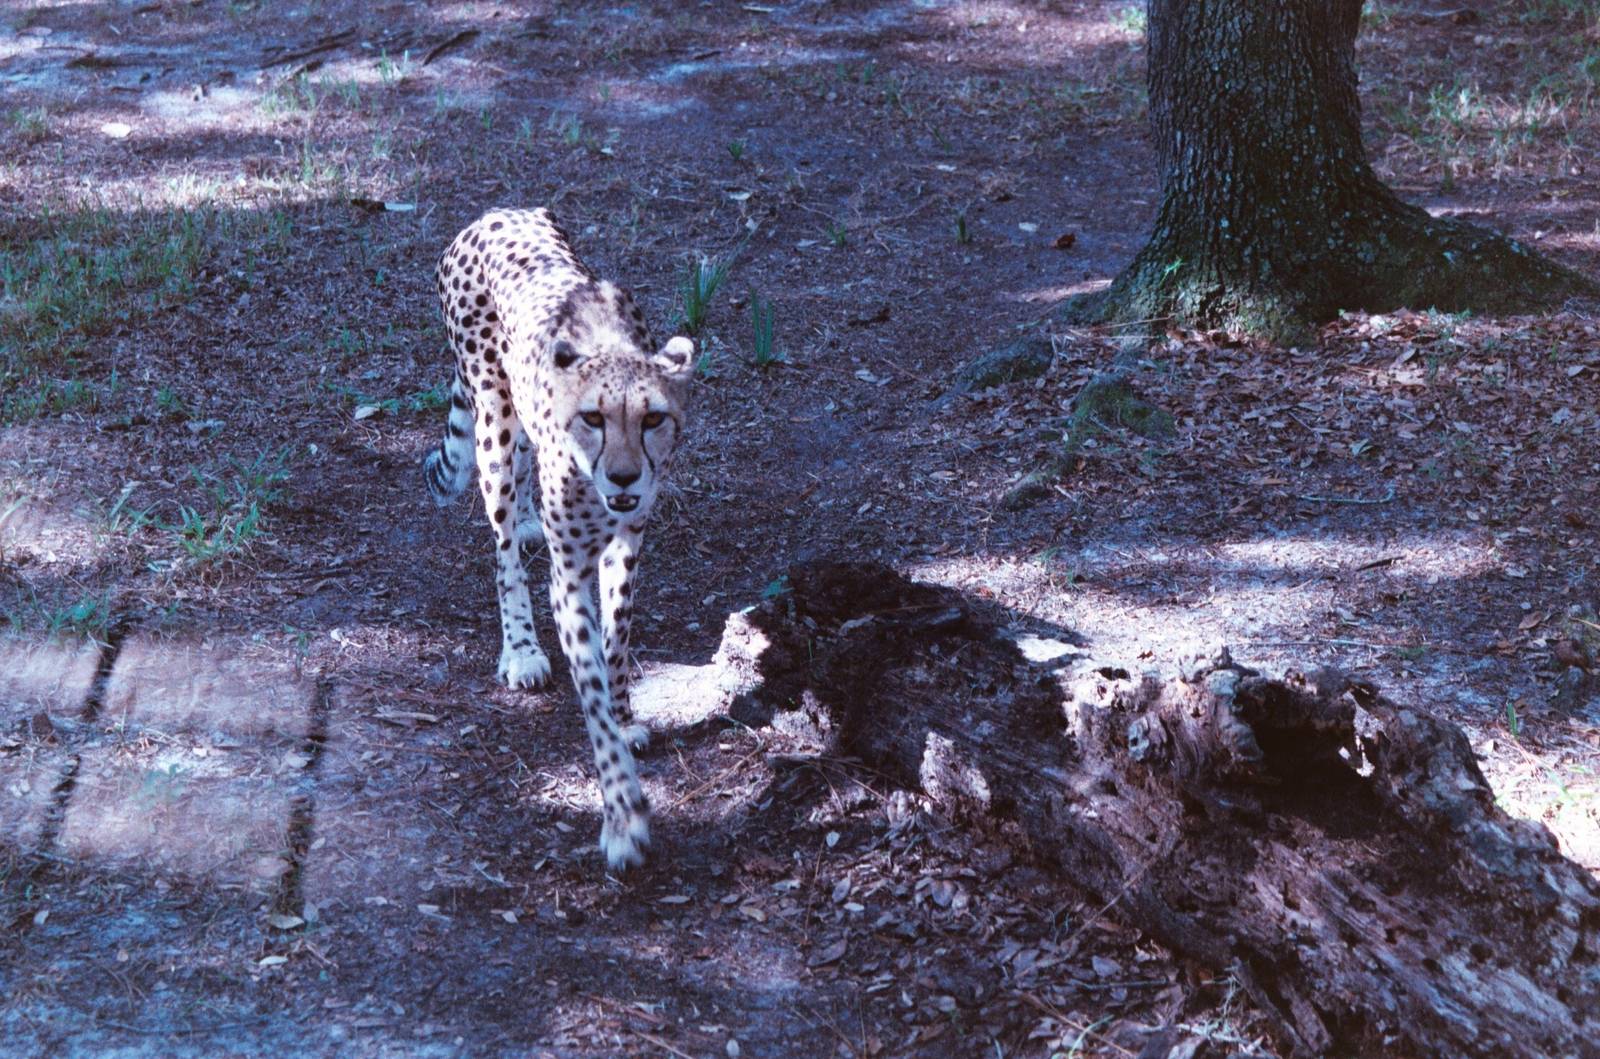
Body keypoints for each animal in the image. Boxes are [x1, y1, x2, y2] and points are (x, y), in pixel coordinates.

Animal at [423, 207, 694, 870]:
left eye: (653, 419)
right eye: (592, 418)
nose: (623, 477)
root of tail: (496, 212)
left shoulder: (628, 544)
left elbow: (616, 643)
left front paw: (625, 715)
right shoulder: (568, 574)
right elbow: (589, 684)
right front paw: (623, 816)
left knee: (523, 473)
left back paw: (527, 519)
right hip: (491, 421)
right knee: (501, 553)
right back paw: (520, 647)